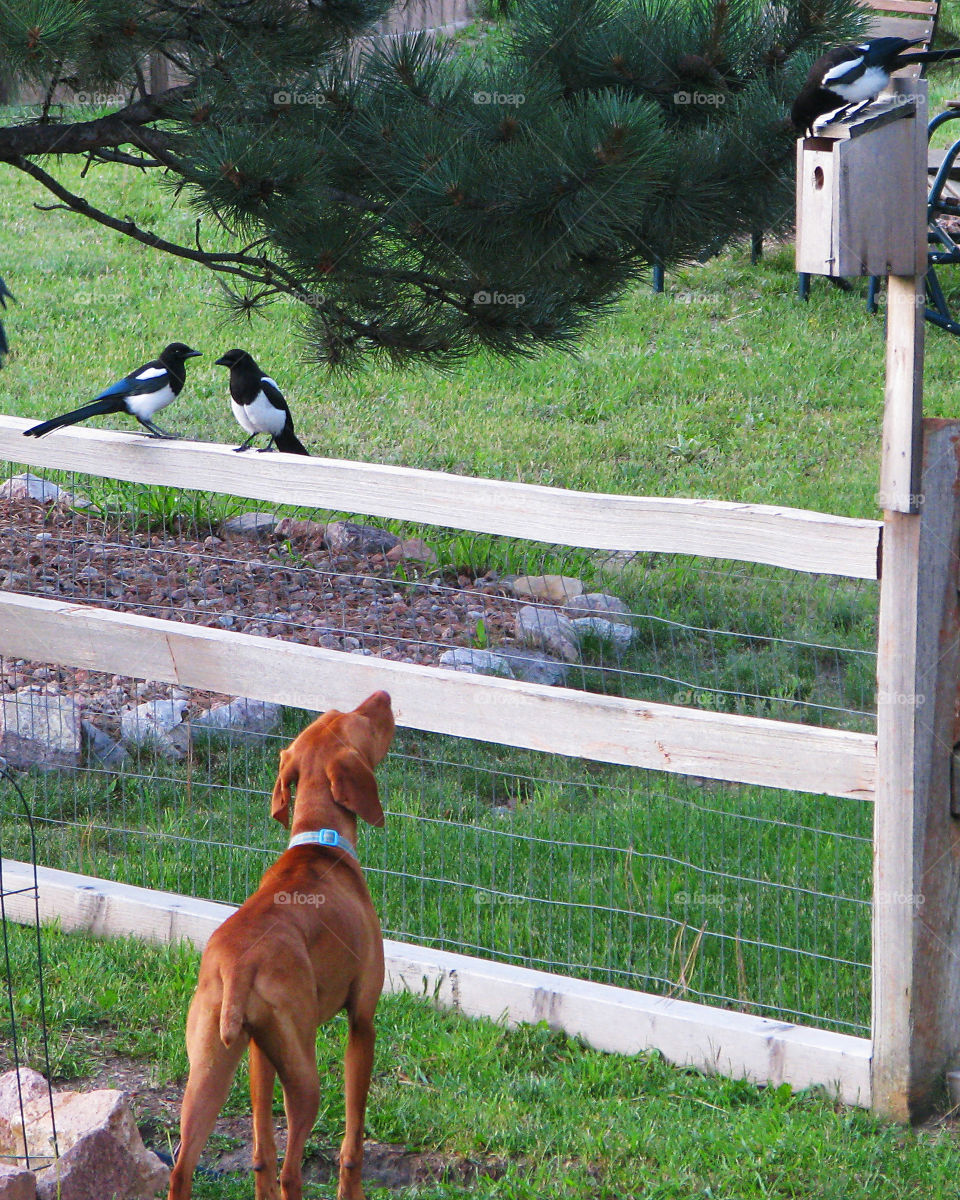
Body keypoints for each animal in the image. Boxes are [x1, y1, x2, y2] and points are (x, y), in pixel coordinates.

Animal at [169, 691, 398, 1200]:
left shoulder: (259, 1050)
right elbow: (352, 1141)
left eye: (334, 714)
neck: (319, 841)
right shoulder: (363, 1021)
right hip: (306, 1078)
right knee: (292, 1171)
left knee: (187, 1166)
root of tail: (237, 965)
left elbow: (260, 1150)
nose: (384, 695)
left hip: (209, 1069)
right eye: (359, 721)